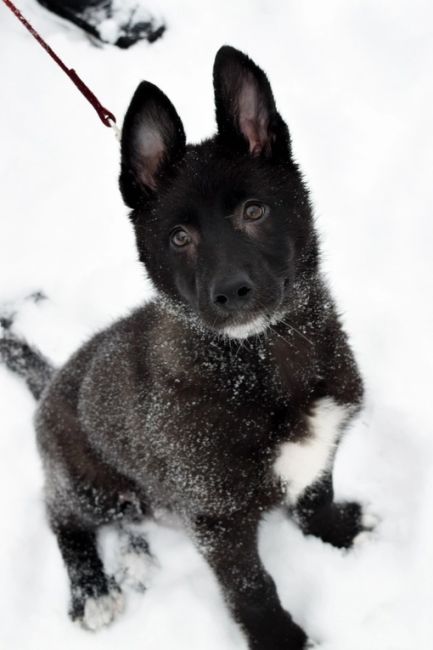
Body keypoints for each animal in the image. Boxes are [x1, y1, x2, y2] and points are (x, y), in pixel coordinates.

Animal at [0, 46, 364, 648]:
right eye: (179, 238)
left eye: (255, 211)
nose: (232, 292)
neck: (261, 359)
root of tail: (49, 381)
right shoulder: (216, 518)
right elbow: (251, 585)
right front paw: (280, 638)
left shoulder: (322, 449)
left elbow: (316, 498)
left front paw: (340, 537)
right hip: (91, 484)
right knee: (61, 515)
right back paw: (93, 590)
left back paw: (135, 558)